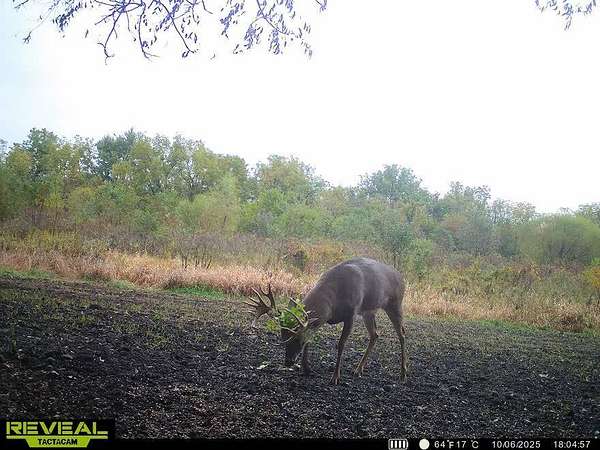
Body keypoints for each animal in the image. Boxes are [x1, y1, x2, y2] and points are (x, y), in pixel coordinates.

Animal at [244, 257, 407, 385]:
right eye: (283, 338)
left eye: (298, 340)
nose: (288, 362)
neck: (332, 304)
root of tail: (402, 278)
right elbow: (311, 337)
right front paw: (306, 369)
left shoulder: (351, 313)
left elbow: (340, 344)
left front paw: (335, 377)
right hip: (369, 311)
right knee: (375, 334)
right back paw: (358, 369)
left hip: (395, 304)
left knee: (402, 334)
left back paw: (403, 373)